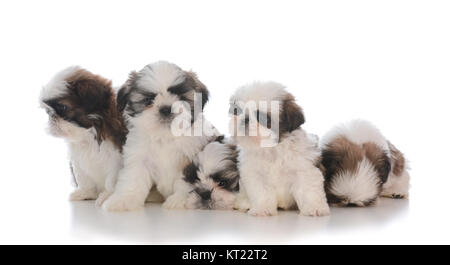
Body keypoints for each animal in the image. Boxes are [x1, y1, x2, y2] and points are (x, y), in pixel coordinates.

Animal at [39, 65, 127, 204]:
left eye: (62, 107)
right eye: (48, 112)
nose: (51, 117)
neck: (87, 136)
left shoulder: (115, 159)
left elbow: (112, 181)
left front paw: (107, 196)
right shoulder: (78, 162)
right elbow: (84, 180)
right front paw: (85, 193)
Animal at [103, 59, 220, 210]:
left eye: (181, 97)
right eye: (148, 100)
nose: (166, 109)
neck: (166, 136)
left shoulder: (189, 158)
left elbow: (184, 181)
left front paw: (180, 199)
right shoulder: (139, 159)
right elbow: (133, 179)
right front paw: (123, 200)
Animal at [229, 81, 330, 216]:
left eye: (262, 117)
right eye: (237, 111)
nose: (245, 119)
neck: (273, 148)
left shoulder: (304, 169)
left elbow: (308, 189)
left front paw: (314, 207)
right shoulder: (255, 174)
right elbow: (261, 192)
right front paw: (262, 209)